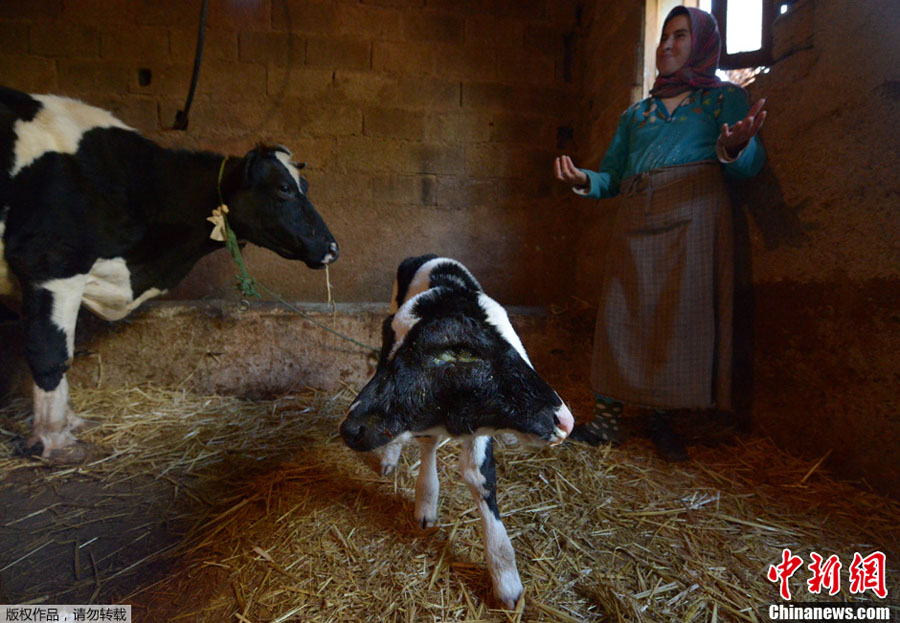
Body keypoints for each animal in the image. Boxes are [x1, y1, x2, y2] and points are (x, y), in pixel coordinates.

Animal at [0, 86, 338, 460]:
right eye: (283, 189)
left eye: (303, 185)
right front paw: (55, 440)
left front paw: (72, 421)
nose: (332, 247)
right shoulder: (49, 264)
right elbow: (51, 354)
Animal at [340, 255, 574, 608]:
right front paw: (425, 504)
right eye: (462, 354)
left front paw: (507, 581)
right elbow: (427, 445)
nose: (564, 420)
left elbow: (479, 477)